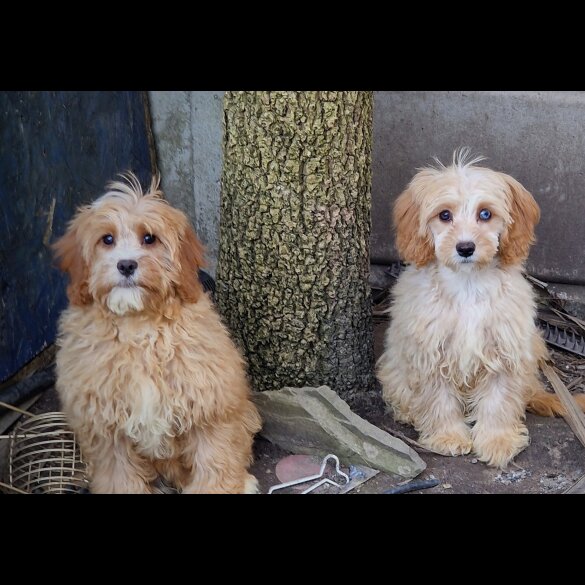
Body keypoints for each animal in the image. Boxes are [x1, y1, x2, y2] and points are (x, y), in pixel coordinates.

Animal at [54, 172, 260, 492]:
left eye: (149, 238)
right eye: (107, 239)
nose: (126, 264)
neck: (139, 328)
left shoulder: (210, 410)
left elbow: (214, 463)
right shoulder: (106, 432)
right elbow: (119, 479)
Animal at [376, 149, 580, 466]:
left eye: (485, 214)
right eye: (444, 215)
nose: (465, 247)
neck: (468, 285)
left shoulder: (504, 351)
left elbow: (499, 402)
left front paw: (498, 441)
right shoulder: (431, 353)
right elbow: (438, 400)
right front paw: (447, 436)